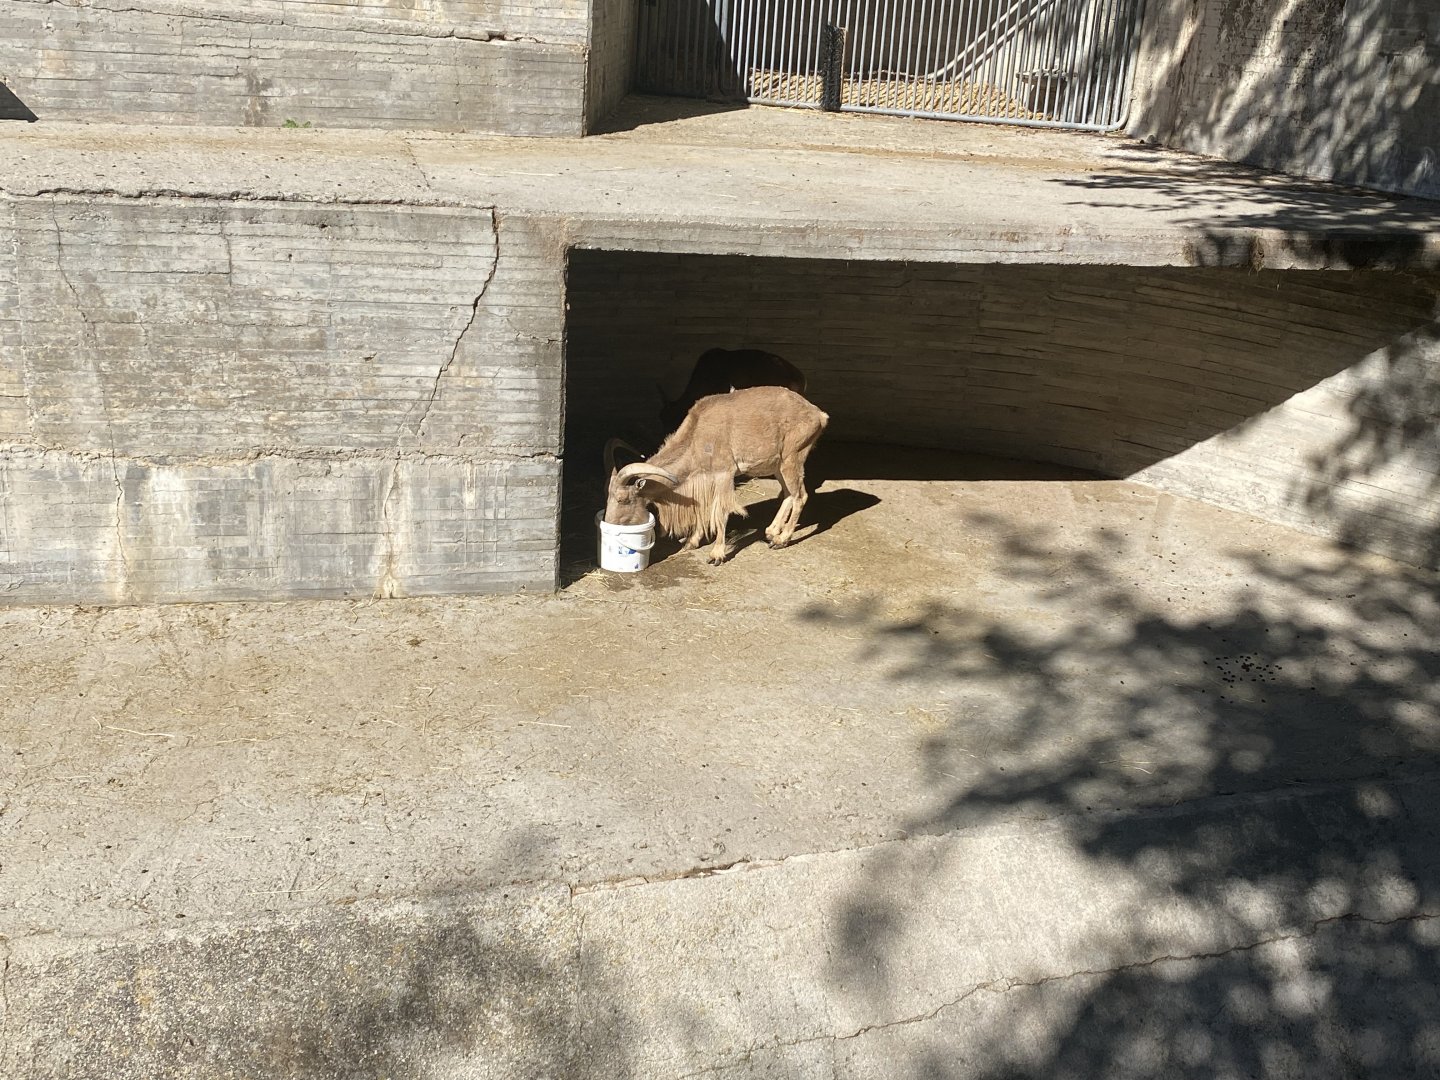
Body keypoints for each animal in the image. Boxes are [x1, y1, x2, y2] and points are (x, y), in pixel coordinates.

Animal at [605, 385, 828, 565]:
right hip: (778, 465)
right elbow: (703, 509)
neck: (697, 435)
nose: (609, 524)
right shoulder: (705, 479)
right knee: (789, 494)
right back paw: (772, 532)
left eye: (622, 498)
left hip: (793, 458)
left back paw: (782, 540)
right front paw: (691, 542)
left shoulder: (724, 474)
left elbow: (720, 511)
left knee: (800, 496)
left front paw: (716, 554)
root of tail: (818, 414)